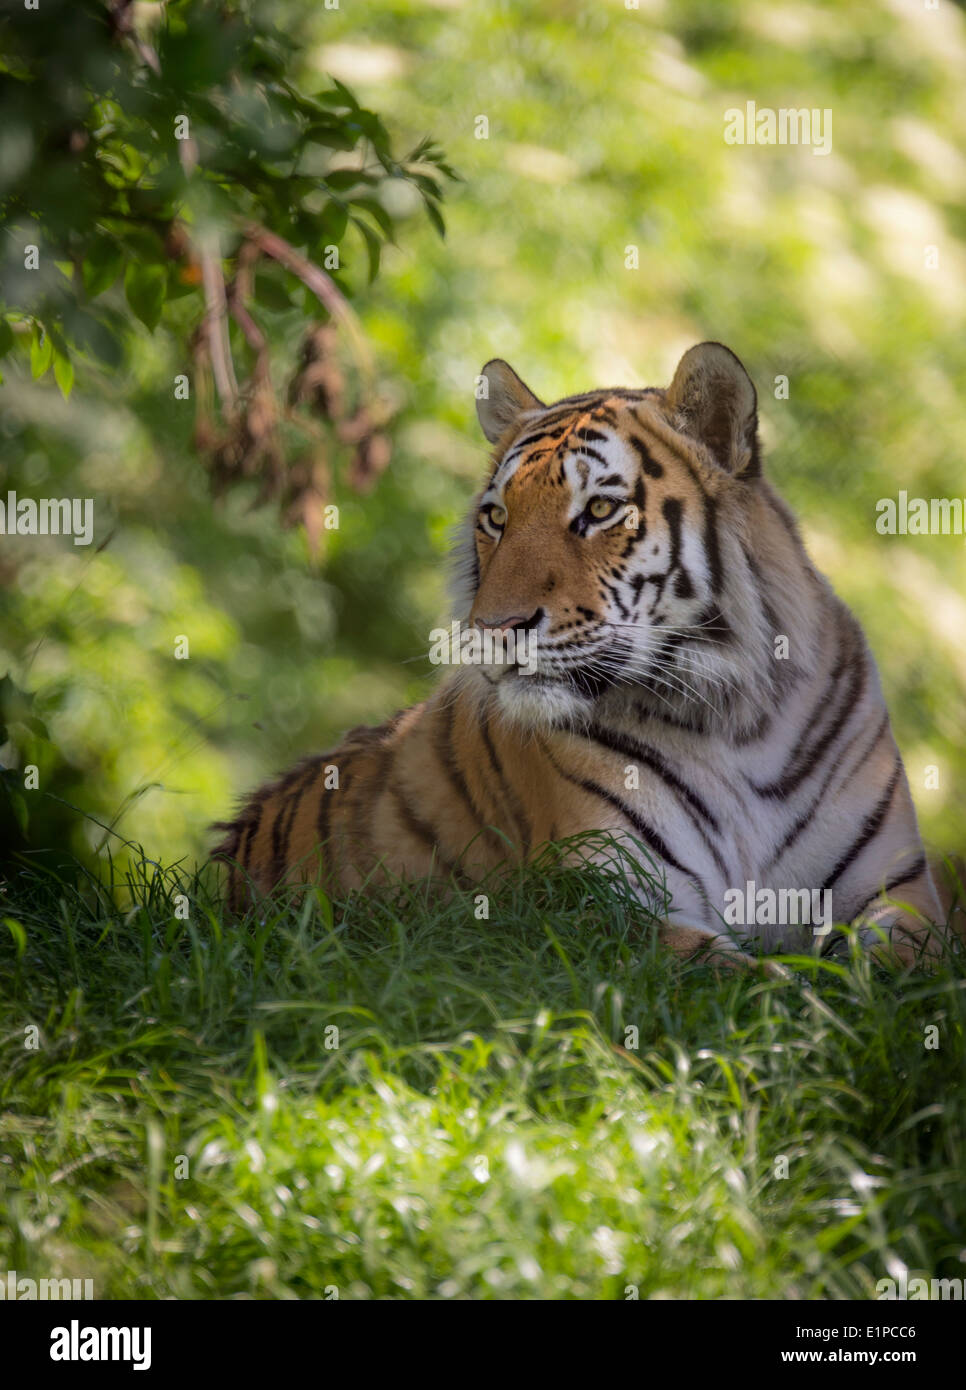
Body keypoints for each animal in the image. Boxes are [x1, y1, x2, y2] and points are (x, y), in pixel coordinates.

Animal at [215, 339, 950, 967]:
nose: (495, 627)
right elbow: (745, 978)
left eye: (597, 511)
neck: (736, 719)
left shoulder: (898, 891)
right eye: (496, 518)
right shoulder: (608, 898)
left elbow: (895, 971)